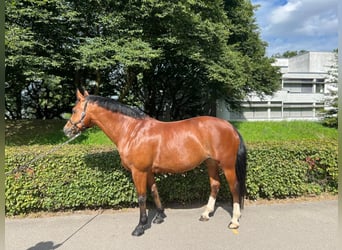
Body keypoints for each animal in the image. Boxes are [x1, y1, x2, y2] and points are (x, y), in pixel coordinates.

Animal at [63, 90, 246, 236]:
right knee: (215, 185)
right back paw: (206, 214)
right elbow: (154, 191)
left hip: (227, 165)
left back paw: (234, 221)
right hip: (211, 163)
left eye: (73, 110)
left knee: (234, 187)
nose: (66, 130)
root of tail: (231, 127)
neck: (132, 131)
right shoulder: (148, 171)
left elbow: (142, 197)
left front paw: (140, 226)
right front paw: (159, 216)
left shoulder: (138, 171)